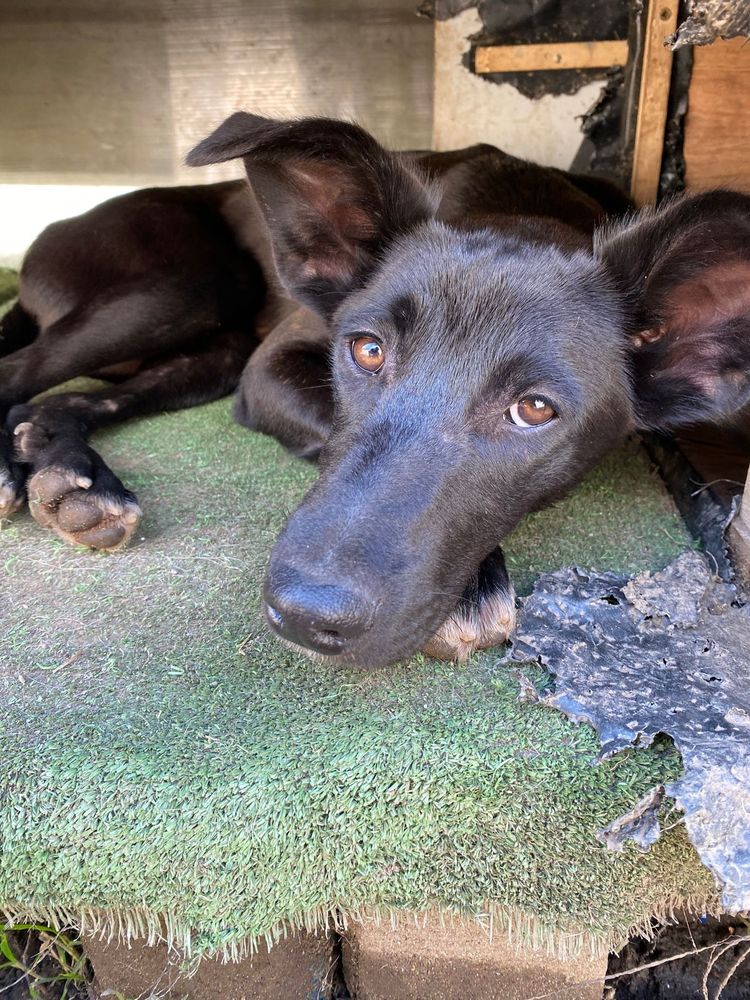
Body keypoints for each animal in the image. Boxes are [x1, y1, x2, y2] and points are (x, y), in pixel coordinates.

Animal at [1, 115, 750, 664]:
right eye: (367, 350)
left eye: (535, 409)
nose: (303, 618)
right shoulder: (269, 368)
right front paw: (477, 585)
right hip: (180, 288)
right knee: (18, 374)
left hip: (212, 349)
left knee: (60, 399)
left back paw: (68, 475)